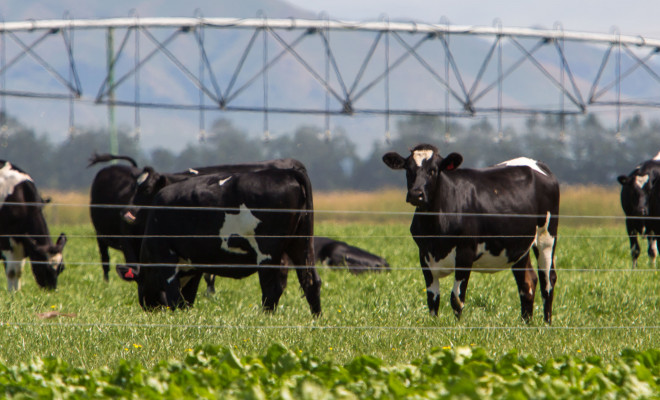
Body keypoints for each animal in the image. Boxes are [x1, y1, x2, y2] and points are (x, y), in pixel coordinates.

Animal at [0, 160, 67, 290]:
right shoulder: (5, 242)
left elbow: (18, 272)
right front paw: (11, 293)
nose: (51, 289)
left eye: (61, 268)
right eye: (42, 266)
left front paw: (17, 292)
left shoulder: (23, 245)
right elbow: (11, 272)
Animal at [120, 166, 324, 316]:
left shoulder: (167, 257)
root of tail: (287, 172)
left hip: (267, 251)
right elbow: (188, 298)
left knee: (271, 287)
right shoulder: (194, 264)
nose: (146, 305)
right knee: (310, 282)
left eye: (141, 283)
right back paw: (316, 319)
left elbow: (174, 296)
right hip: (301, 244)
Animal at [384, 144, 560, 324]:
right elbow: (433, 299)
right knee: (527, 282)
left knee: (548, 280)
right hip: (518, 246)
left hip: (546, 236)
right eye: (408, 170)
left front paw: (458, 326)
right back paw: (526, 323)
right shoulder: (424, 255)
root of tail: (537, 164)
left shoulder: (465, 252)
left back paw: (546, 324)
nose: (416, 194)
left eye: (433, 170)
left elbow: (456, 298)